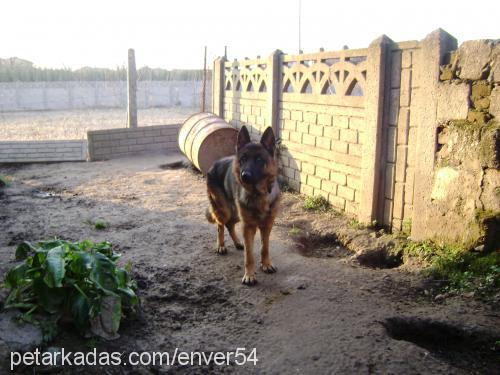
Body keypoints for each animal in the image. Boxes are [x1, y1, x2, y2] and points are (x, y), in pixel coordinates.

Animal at [205, 125, 280, 286]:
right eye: (243, 159)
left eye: (259, 159)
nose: (245, 176)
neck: (258, 195)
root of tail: (214, 164)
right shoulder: (248, 227)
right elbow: (249, 255)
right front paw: (249, 275)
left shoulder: (267, 225)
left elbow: (265, 248)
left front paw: (266, 264)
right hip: (225, 210)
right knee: (221, 225)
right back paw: (221, 246)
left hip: (236, 214)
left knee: (230, 224)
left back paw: (238, 243)